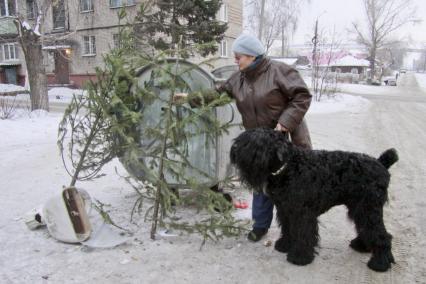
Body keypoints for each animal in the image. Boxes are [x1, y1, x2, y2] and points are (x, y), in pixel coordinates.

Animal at [231, 127, 398, 272]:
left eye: (257, 143)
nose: (234, 149)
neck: (289, 167)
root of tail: (381, 163)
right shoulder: (285, 210)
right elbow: (288, 229)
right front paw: (285, 245)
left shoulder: (302, 213)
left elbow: (303, 233)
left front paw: (300, 257)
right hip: (358, 208)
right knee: (366, 228)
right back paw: (361, 245)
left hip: (368, 209)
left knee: (382, 235)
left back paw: (380, 263)